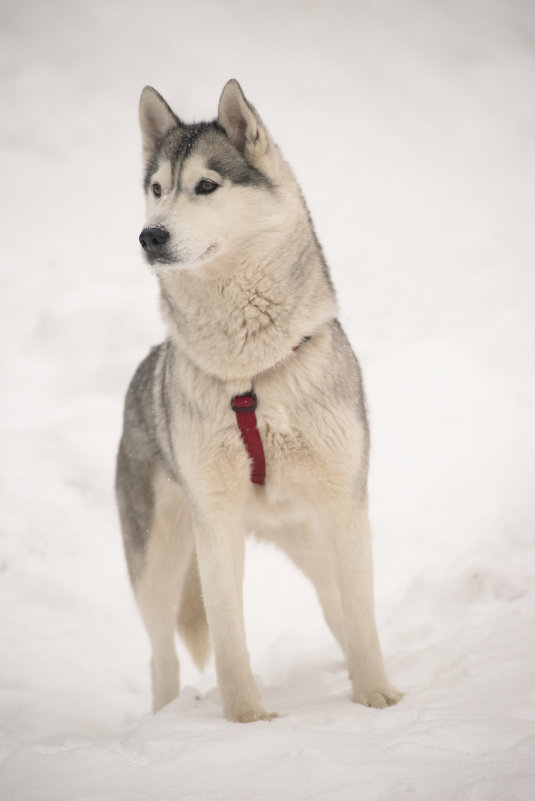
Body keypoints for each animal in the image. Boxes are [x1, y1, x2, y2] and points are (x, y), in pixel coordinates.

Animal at [117, 78, 402, 720]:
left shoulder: (345, 506)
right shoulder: (216, 521)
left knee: (338, 609)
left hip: (311, 537)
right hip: (158, 563)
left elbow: (363, 616)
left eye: (206, 185)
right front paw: (247, 720)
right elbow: (228, 635)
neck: (250, 374)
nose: (151, 235)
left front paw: (376, 698)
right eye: (156, 189)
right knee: (160, 655)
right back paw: (165, 713)